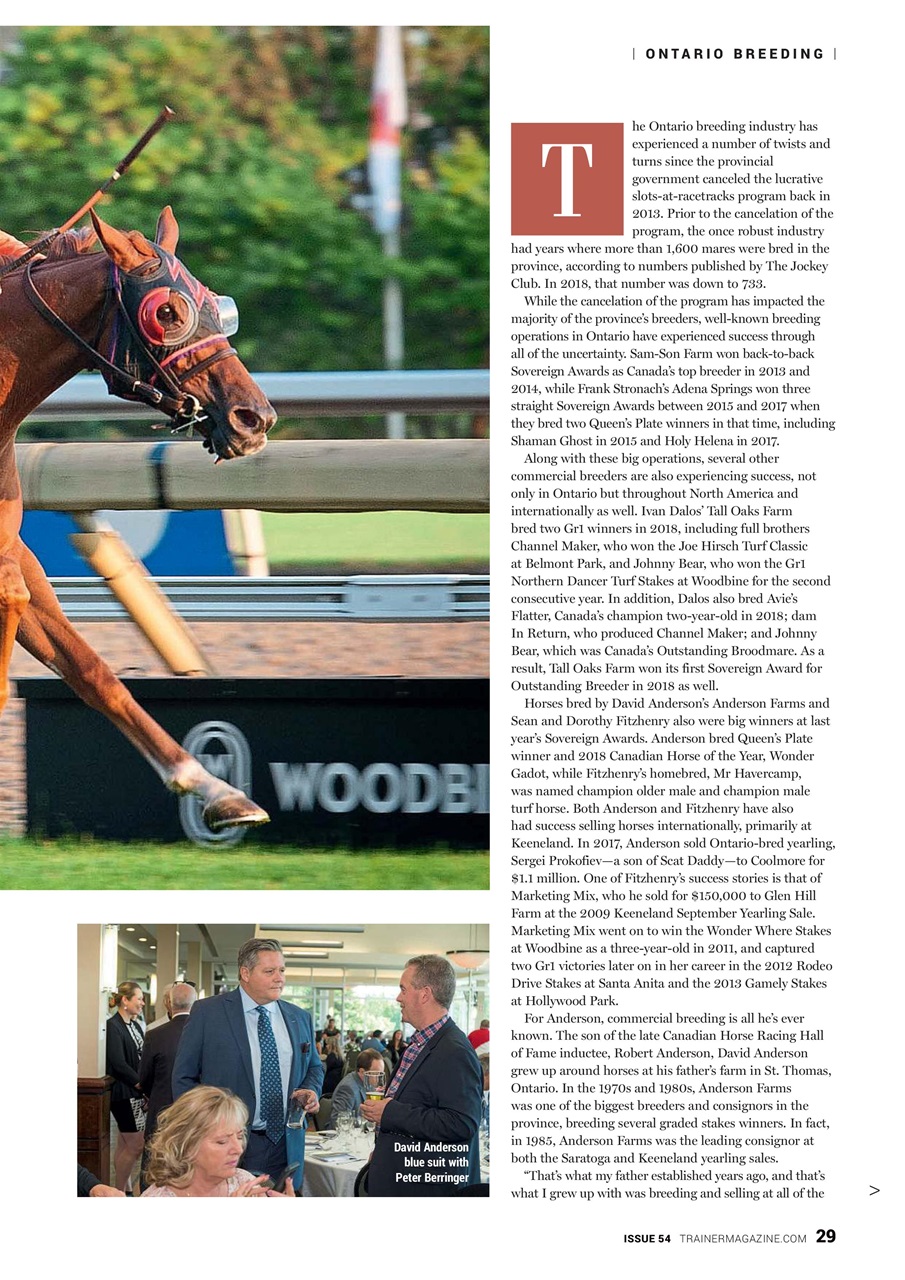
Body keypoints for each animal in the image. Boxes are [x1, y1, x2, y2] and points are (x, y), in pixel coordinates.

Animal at [0, 206, 276, 831]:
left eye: (215, 304)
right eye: (167, 312)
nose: (254, 418)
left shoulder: (15, 556)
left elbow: (91, 669)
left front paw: (216, 788)